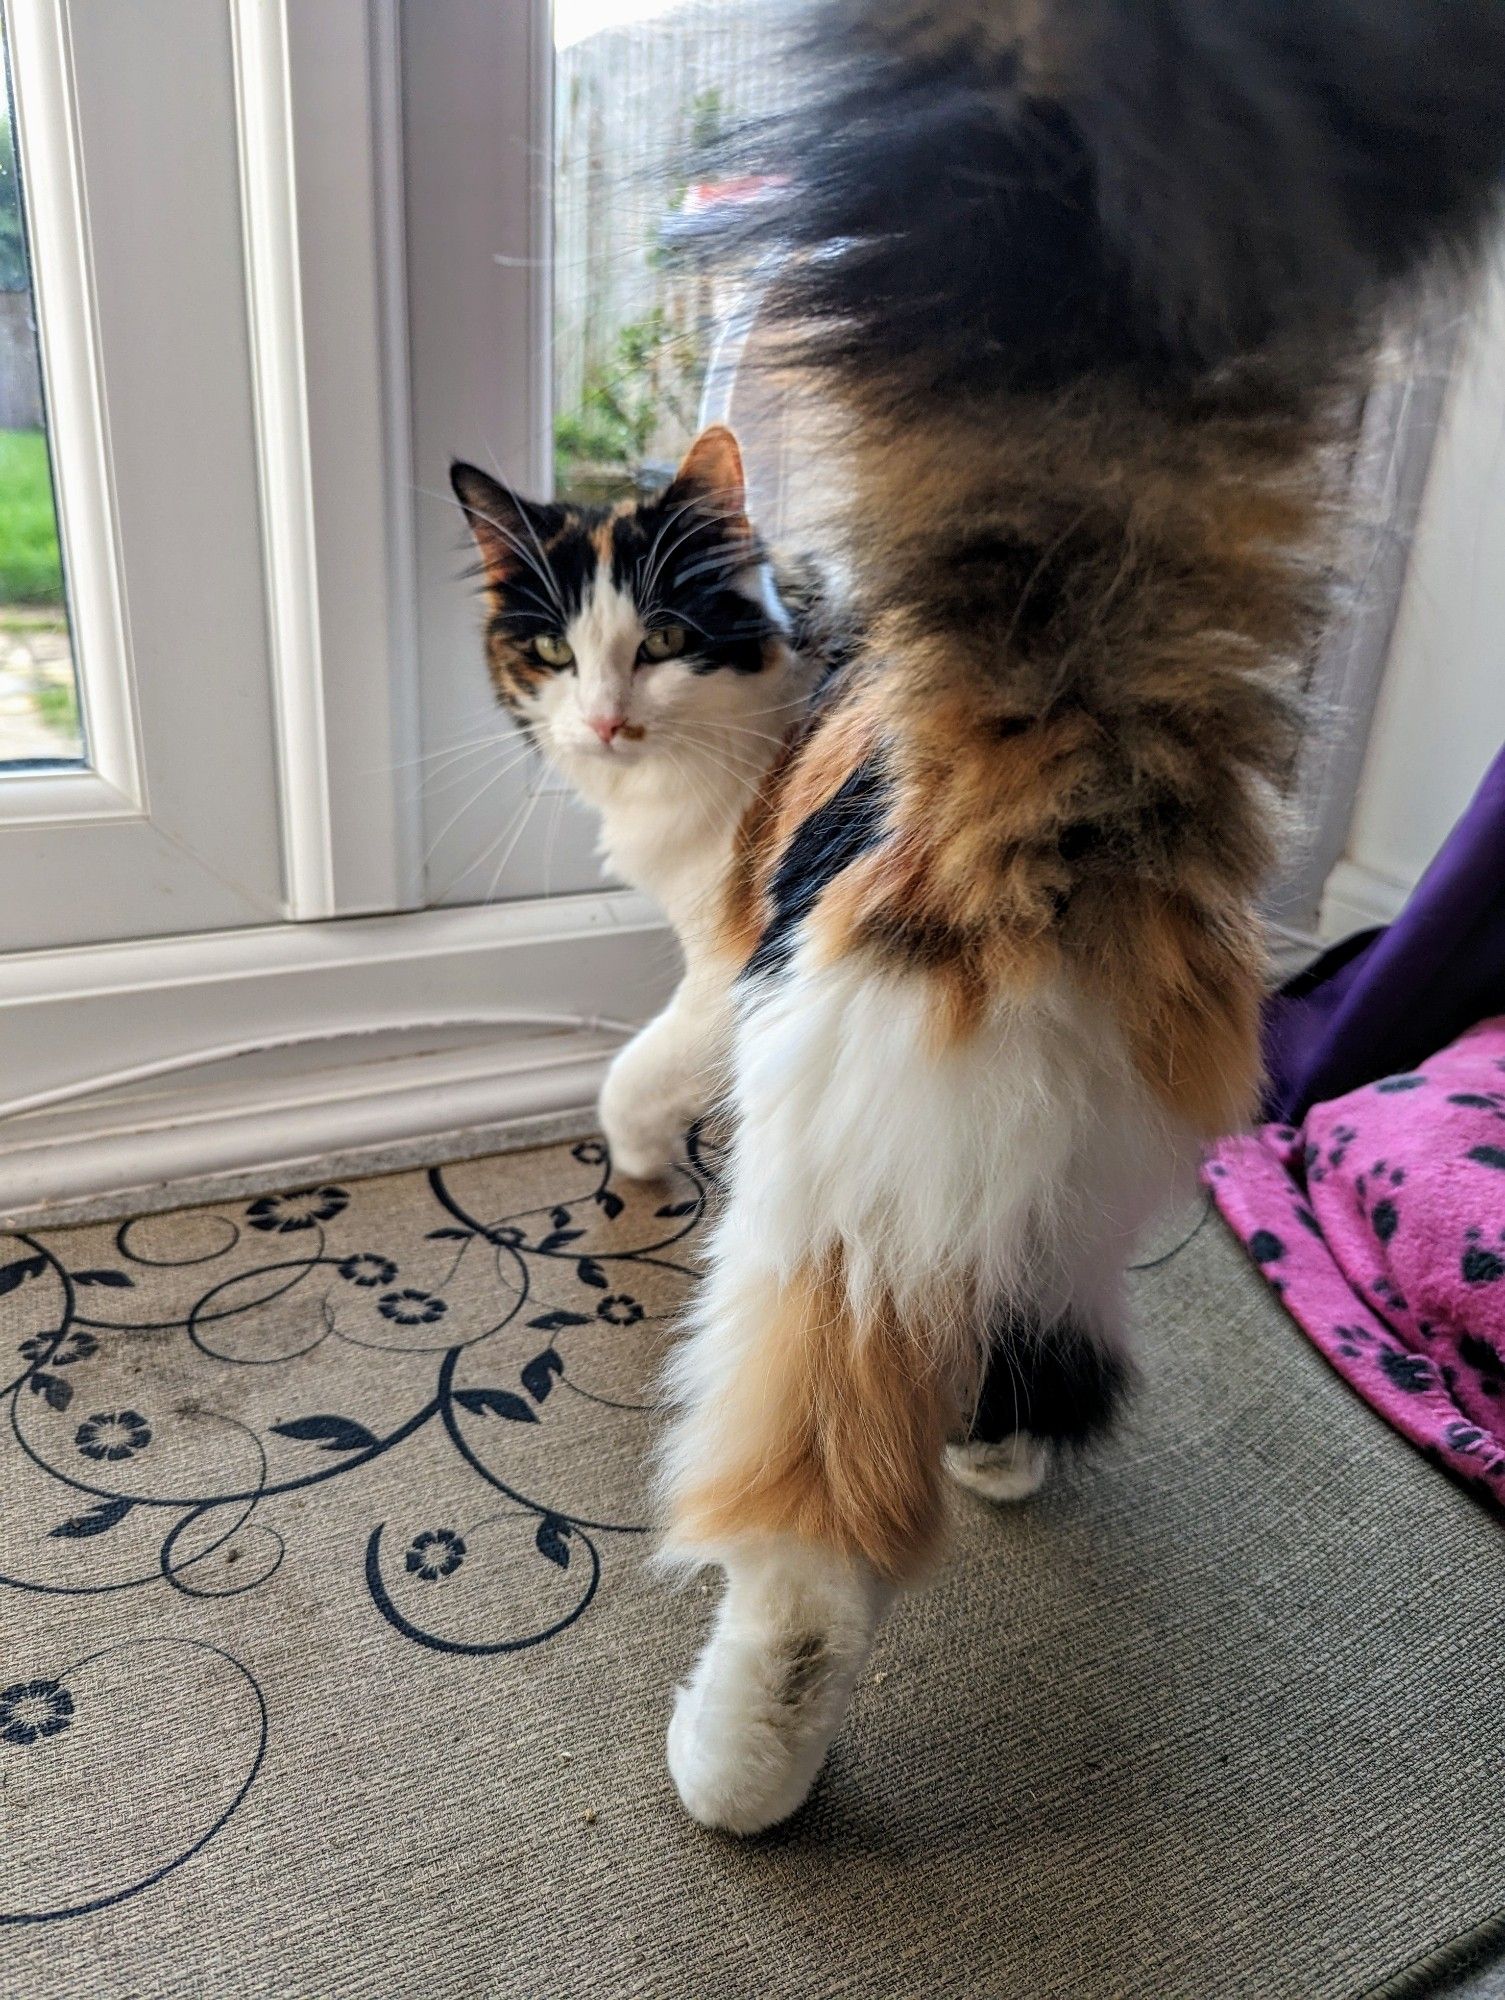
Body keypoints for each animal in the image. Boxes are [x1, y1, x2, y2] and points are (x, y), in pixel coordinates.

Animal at [456, 0, 1505, 1840]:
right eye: (547, 649)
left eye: (654, 640)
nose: (600, 720)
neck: (789, 677)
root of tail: (1071, 753)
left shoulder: (726, 969)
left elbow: (632, 1069)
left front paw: (638, 1162)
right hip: (1065, 1183)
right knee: (1024, 1331)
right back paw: (997, 1457)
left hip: (832, 1201)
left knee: (809, 1550)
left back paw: (742, 1770)